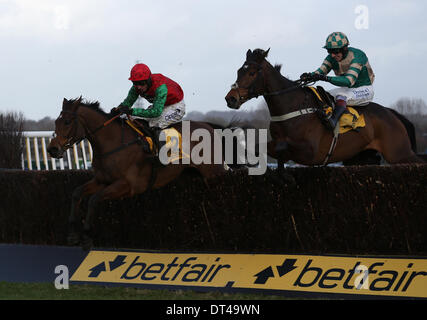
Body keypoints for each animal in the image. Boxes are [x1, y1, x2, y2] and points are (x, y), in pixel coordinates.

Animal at [47, 97, 227, 250]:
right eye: (56, 121)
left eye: (67, 122)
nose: (52, 149)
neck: (113, 144)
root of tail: (208, 126)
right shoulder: (101, 180)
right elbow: (76, 193)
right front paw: (72, 235)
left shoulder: (128, 185)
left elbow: (93, 200)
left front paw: (86, 238)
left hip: (213, 171)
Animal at [224, 48, 424, 170]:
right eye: (239, 71)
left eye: (252, 73)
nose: (230, 98)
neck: (292, 107)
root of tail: (392, 114)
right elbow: (260, 147)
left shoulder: (309, 152)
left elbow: (279, 146)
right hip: (362, 156)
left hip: (399, 153)